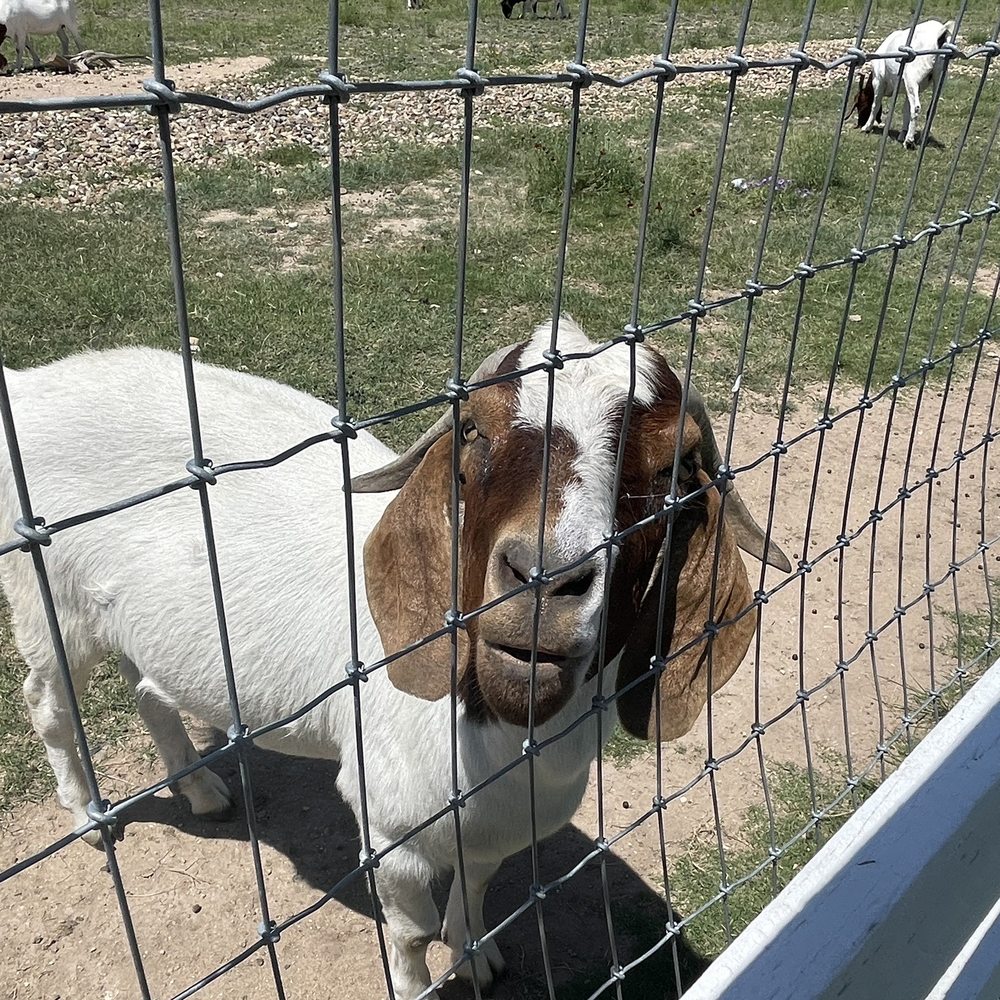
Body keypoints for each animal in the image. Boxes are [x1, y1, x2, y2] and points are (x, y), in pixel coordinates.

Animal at [0, 319, 789, 999]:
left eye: (673, 470)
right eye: (474, 431)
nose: (542, 582)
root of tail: (25, 384)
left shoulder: (491, 826)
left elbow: (476, 887)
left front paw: (476, 958)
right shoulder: (390, 825)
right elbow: (410, 932)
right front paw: (417, 986)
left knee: (148, 693)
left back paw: (201, 790)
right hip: (48, 603)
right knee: (47, 702)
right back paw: (91, 817)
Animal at [847, 18, 954, 149]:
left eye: (860, 105)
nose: (859, 124)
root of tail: (940, 34)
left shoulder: (879, 80)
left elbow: (875, 104)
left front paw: (866, 127)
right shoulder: (909, 88)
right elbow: (906, 110)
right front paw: (902, 134)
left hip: (912, 77)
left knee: (916, 107)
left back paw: (909, 141)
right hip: (939, 78)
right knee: (931, 109)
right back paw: (922, 140)